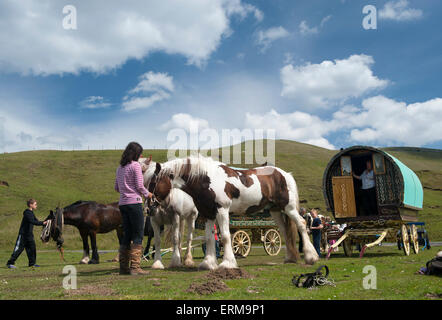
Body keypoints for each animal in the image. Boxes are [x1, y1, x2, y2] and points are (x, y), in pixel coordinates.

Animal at [142, 155, 318, 270]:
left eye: (153, 183)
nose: (149, 209)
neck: (207, 179)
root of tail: (284, 174)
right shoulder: (208, 214)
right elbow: (209, 238)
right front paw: (208, 263)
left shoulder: (222, 210)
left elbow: (226, 237)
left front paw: (227, 263)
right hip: (275, 211)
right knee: (284, 231)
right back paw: (289, 258)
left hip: (289, 208)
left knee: (301, 224)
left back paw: (311, 256)